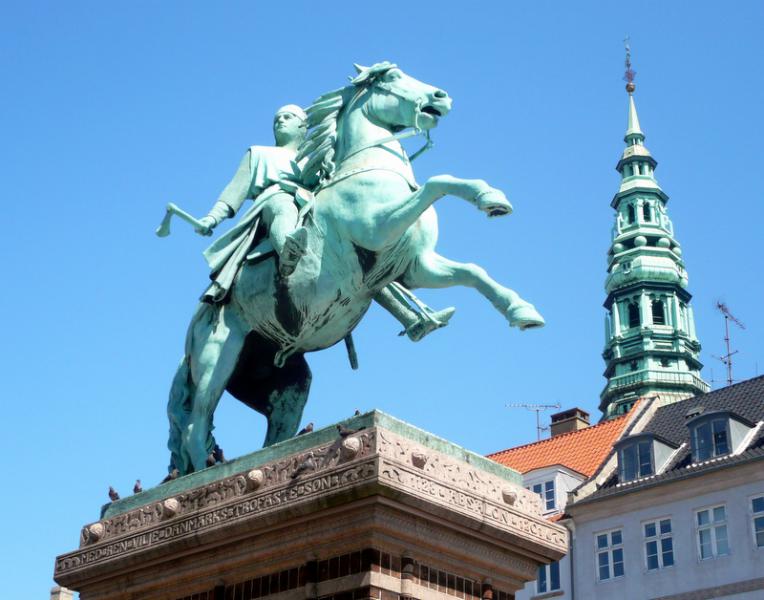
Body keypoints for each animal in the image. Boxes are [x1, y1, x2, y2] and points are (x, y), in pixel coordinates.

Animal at [170, 63, 548, 476]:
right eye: (391, 78)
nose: (440, 96)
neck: (369, 170)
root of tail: (193, 329)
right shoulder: (379, 227)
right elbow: (438, 181)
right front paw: (488, 196)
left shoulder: (415, 267)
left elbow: (473, 271)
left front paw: (522, 310)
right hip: (217, 356)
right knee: (195, 425)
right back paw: (204, 473)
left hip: (286, 383)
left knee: (273, 434)